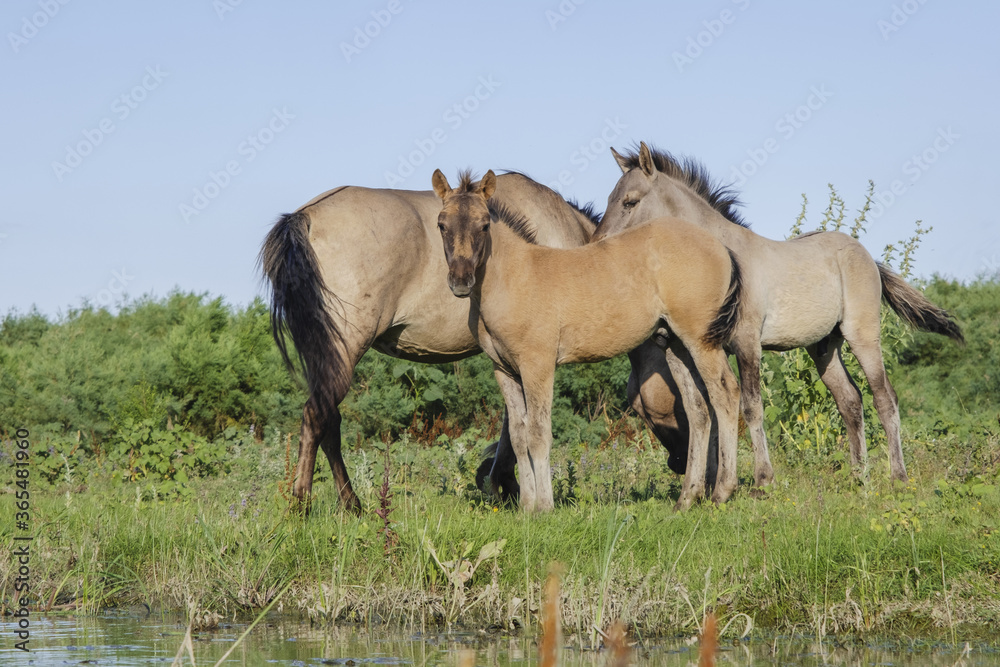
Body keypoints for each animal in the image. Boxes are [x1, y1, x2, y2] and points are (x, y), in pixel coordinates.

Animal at [434, 170, 748, 516]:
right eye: (441, 224)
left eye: (484, 225)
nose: (461, 281)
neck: (515, 276)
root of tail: (721, 247)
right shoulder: (504, 369)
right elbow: (517, 436)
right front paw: (526, 507)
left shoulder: (538, 364)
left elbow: (538, 433)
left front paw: (544, 507)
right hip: (675, 344)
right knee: (697, 409)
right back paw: (687, 498)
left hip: (701, 339)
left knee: (725, 393)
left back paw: (722, 491)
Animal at [592, 142, 960, 486]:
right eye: (610, 198)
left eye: (630, 202)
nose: (599, 246)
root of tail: (867, 256)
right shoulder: (695, 347)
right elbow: (708, 407)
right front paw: (711, 484)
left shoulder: (746, 342)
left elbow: (751, 406)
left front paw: (760, 481)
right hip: (823, 347)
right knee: (850, 400)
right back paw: (859, 478)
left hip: (863, 335)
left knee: (885, 398)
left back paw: (898, 477)